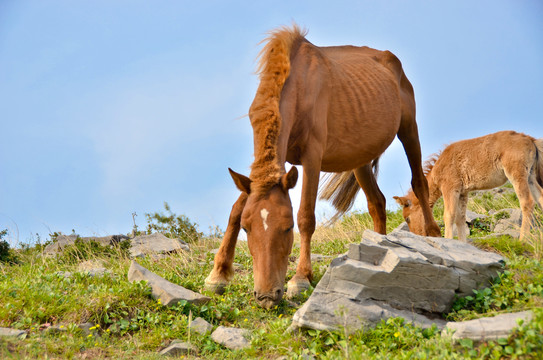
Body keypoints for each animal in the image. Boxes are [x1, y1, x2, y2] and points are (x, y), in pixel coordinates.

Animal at [205, 23, 442, 308]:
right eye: (246, 228)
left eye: (287, 228)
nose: (266, 296)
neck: (297, 84)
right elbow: (236, 209)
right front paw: (218, 275)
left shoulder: (312, 158)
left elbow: (306, 216)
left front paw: (300, 279)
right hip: (360, 157)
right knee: (377, 203)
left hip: (408, 129)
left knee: (418, 183)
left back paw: (433, 235)